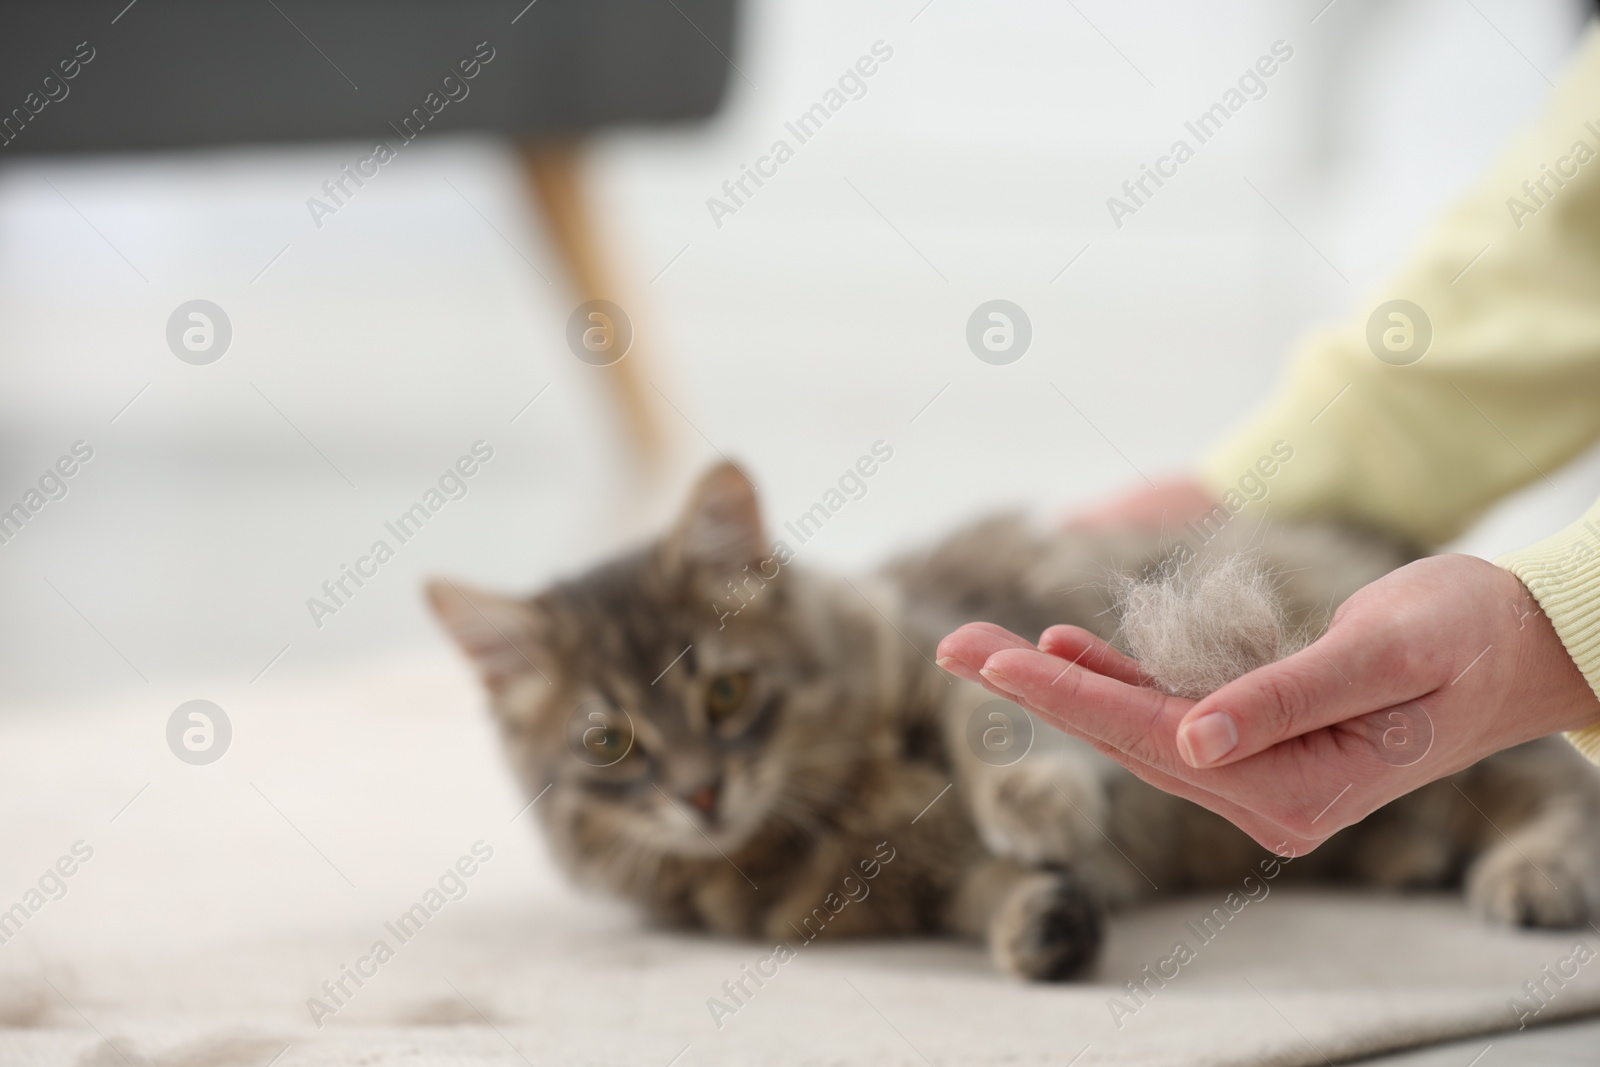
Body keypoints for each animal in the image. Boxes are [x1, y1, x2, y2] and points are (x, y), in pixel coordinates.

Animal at [425, 463, 1600, 979]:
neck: (829, 808)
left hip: (1463, 752)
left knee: (1558, 790)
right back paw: (1410, 856)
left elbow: (992, 728)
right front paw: (1041, 922)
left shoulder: (944, 649)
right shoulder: (907, 891)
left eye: (724, 693)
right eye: (609, 743)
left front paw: (1041, 807)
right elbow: (986, 895)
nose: (701, 793)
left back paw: (1531, 874)